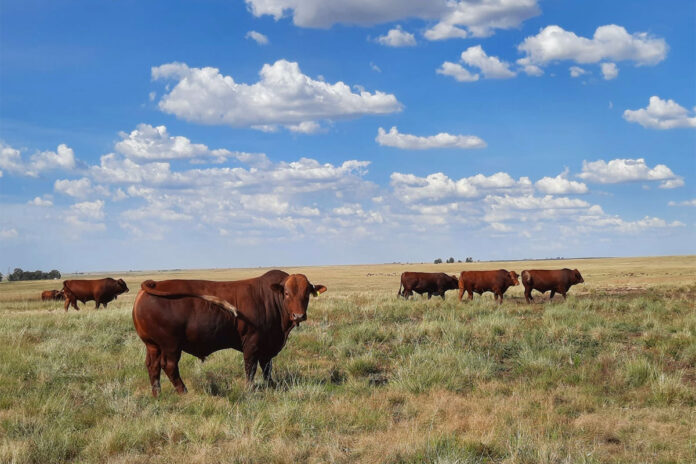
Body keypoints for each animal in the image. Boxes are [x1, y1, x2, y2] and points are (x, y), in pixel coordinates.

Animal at [131, 270, 327, 397]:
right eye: (286, 293)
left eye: (307, 293)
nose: (299, 315)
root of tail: (155, 284)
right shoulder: (252, 341)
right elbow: (250, 367)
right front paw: (249, 390)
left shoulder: (267, 345)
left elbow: (267, 367)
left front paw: (272, 386)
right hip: (170, 344)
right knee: (169, 365)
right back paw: (184, 392)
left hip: (153, 345)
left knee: (153, 366)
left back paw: (157, 394)